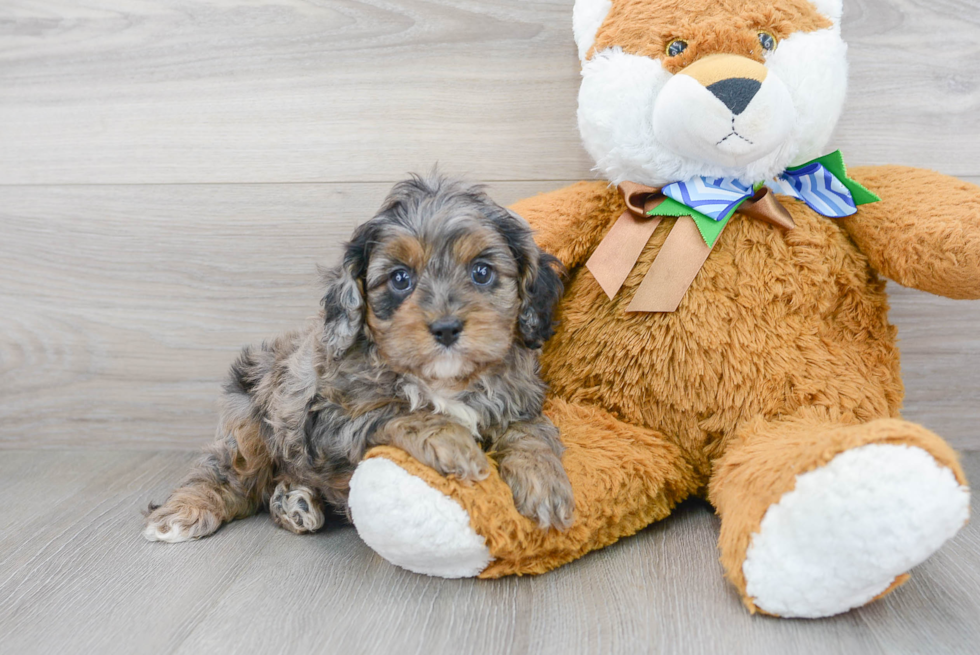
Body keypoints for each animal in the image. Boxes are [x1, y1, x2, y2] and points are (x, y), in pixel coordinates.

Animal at [145, 173, 576, 544]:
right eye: (400, 278)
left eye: (482, 272)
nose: (446, 328)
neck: (442, 381)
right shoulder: (328, 420)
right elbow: (401, 412)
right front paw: (453, 442)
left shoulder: (519, 402)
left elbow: (530, 433)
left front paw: (545, 484)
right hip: (248, 419)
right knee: (227, 473)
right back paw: (183, 512)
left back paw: (294, 502)